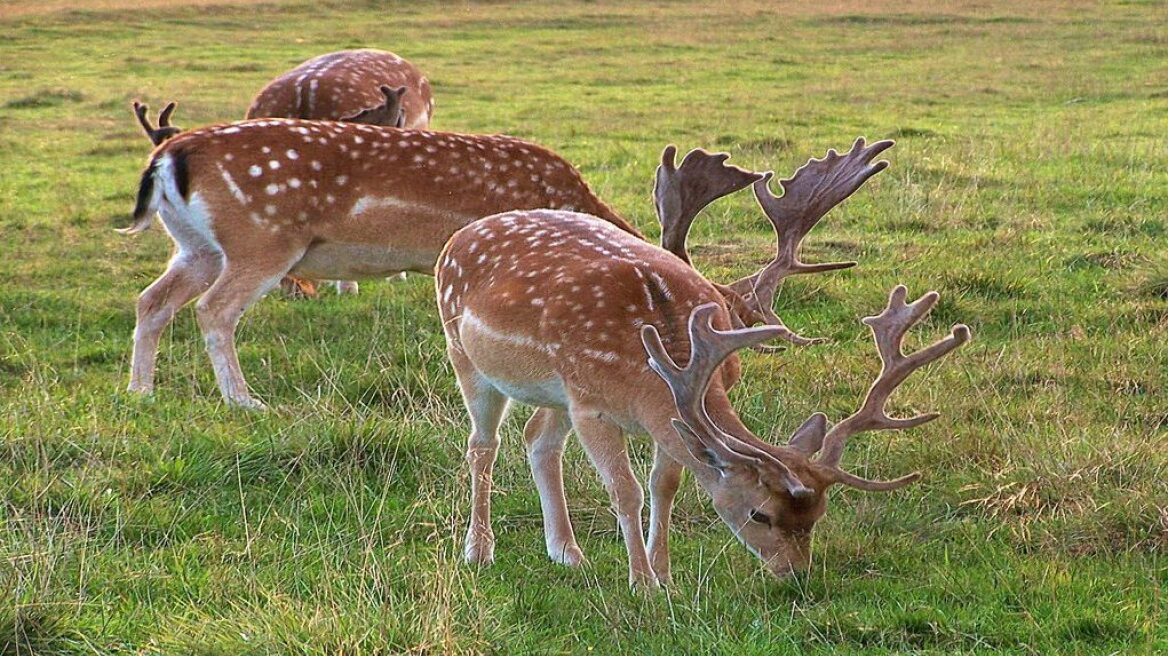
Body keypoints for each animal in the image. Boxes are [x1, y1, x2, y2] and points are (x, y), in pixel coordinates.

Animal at [434, 137, 971, 581]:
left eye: (819, 515)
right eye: (760, 513)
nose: (796, 574)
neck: (652, 368)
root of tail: (458, 237)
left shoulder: (649, 411)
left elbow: (665, 483)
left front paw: (664, 575)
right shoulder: (590, 405)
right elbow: (625, 490)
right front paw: (643, 585)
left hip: (554, 390)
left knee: (537, 439)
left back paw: (567, 552)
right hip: (465, 353)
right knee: (484, 444)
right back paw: (479, 550)